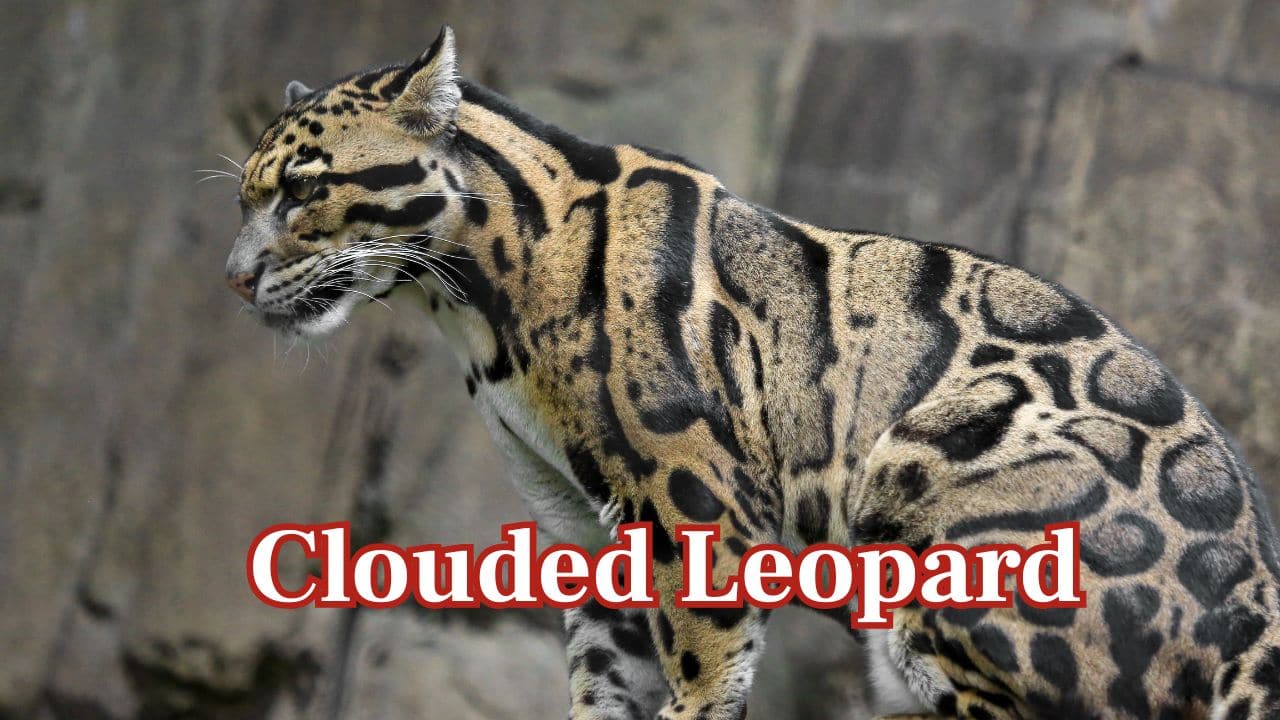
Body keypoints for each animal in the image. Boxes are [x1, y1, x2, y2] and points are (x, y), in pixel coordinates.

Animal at [224, 26, 1280, 720]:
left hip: (930, 498)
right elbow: (604, 673)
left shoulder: (695, 497)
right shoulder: (589, 524)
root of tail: (1256, 612)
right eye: (247, 196)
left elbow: (702, 656)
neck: (469, 300)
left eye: (305, 190)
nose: (234, 278)